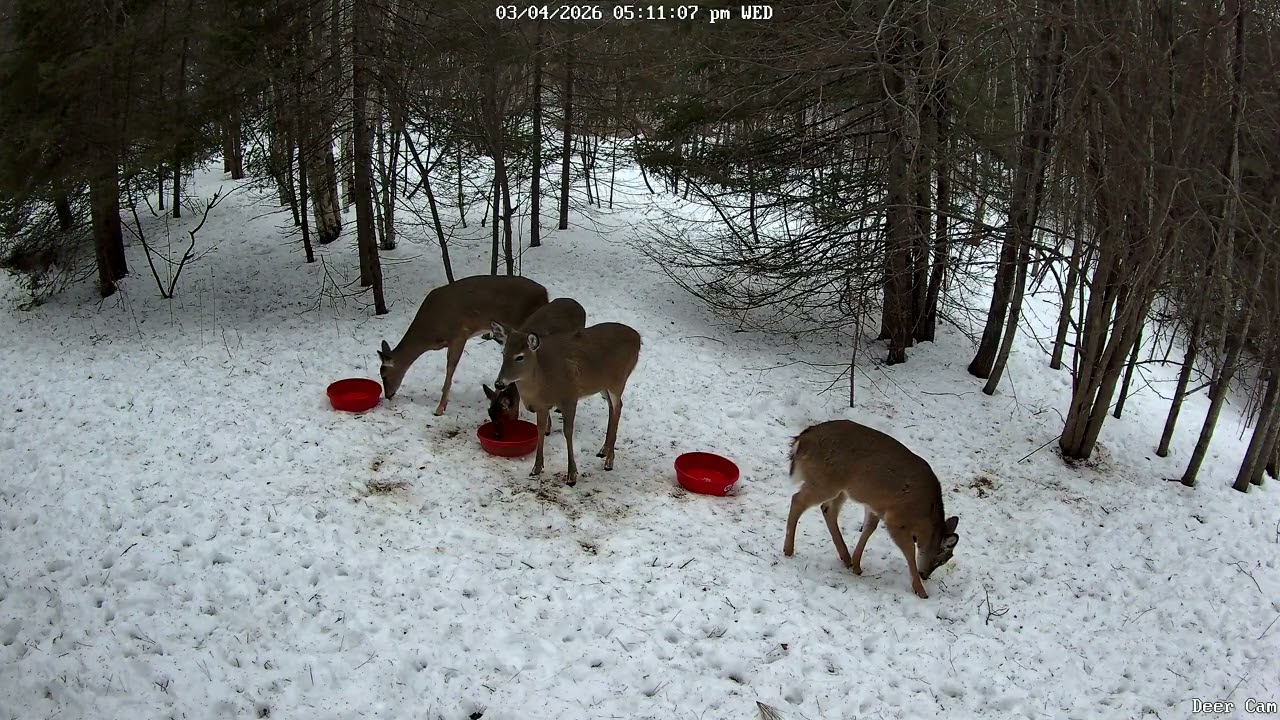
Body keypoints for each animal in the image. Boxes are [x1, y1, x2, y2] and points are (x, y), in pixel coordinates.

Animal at [377, 275, 548, 415]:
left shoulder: (459, 334)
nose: (388, 395)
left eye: (384, 375)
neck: (430, 331)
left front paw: (440, 408)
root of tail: (545, 292)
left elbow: (450, 370)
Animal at [490, 321, 641, 486]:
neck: (543, 380)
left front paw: (572, 475)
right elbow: (540, 429)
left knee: (618, 407)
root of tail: (638, 337)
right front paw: (536, 468)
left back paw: (609, 462)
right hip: (603, 385)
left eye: (520, 357)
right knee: (613, 407)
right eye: (503, 353)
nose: (499, 383)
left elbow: (568, 432)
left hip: (618, 380)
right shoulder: (542, 406)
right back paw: (603, 450)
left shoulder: (570, 397)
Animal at [783, 419, 960, 599]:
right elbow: (909, 552)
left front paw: (857, 565)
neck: (925, 515)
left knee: (827, 510)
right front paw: (921, 591)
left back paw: (846, 558)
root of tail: (801, 441)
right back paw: (788, 551)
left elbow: (869, 528)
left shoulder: (876, 507)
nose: (925, 575)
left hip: (839, 489)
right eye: (941, 559)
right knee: (797, 500)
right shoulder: (895, 519)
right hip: (824, 482)